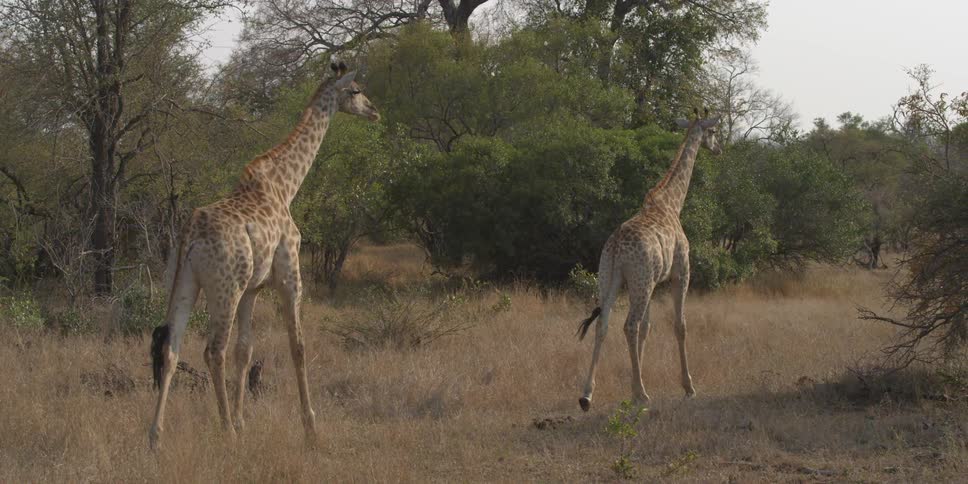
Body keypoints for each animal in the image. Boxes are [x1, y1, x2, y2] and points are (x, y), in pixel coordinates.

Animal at [148, 62, 380, 449]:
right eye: (357, 90)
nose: (375, 111)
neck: (285, 186)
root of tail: (190, 236)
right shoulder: (290, 276)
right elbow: (298, 346)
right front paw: (310, 427)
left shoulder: (252, 290)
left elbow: (246, 351)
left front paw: (244, 421)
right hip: (224, 288)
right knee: (213, 351)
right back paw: (225, 431)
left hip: (183, 283)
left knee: (171, 349)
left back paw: (155, 438)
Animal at [575, 109, 722, 412]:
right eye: (713, 131)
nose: (719, 149)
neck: (672, 203)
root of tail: (616, 247)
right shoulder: (681, 272)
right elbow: (679, 325)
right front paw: (688, 387)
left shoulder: (653, 281)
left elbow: (647, 329)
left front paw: (633, 387)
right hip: (639, 281)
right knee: (628, 325)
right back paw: (643, 395)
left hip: (610, 278)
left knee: (604, 325)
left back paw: (587, 396)